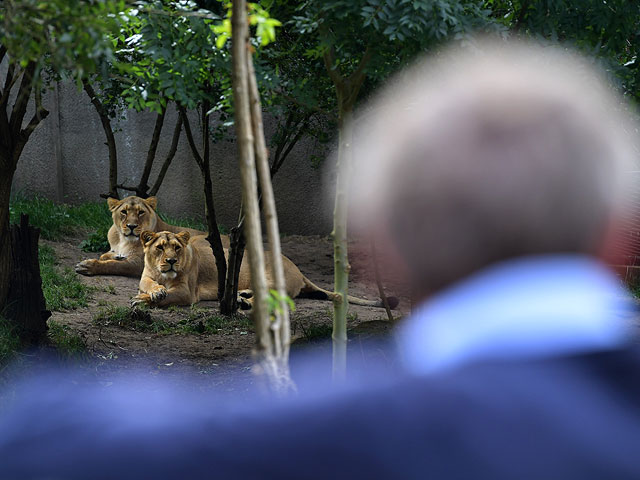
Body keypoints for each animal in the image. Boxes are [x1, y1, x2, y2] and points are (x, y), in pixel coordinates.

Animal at [75, 195, 230, 278]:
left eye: (141, 212)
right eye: (124, 212)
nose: (131, 226)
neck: (123, 240)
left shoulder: (138, 264)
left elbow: (114, 265)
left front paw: (88, 265)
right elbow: (105, 256)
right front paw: (115, 256)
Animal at [132, 231, 398, 310]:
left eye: (176, 248)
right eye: (160, 248)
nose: (171, 261)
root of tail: (298, 269)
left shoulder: (188, 293)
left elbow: (166, 296)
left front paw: (143, 300)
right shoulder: (146, 277)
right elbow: (150, 285)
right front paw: (153, 292)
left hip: (269, 278)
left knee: (272, 295)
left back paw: (243, 301)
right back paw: (241, 298)